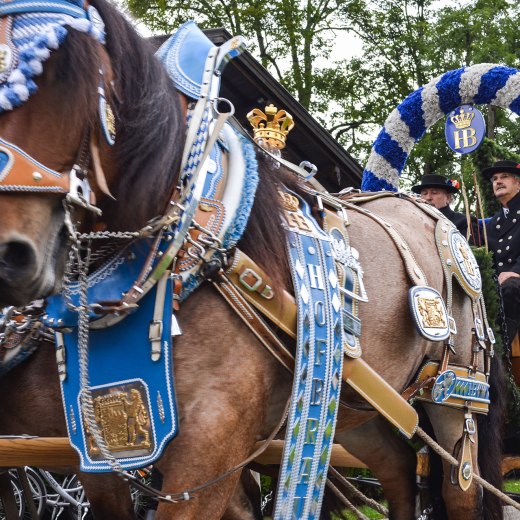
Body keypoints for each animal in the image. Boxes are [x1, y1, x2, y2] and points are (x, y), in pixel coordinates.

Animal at [0, 2, 508, 516]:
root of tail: (429, 211)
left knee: (460, 484)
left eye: (69, 76)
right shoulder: (98, 443)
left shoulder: (212, 444)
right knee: (400, 468)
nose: (10, 256)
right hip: (360, 404)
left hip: (456, 392)